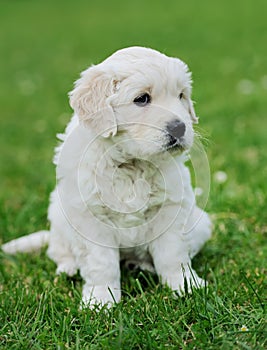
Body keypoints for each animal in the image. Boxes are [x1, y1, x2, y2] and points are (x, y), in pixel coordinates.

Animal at [1, 46, 211, 306]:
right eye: (142, 99)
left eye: (181, 95)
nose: (180, 127)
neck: (131, 162)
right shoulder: (90, 216)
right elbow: (101, 264)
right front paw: (100, 300)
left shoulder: (171, 208)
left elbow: (173, 254)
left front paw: (185, 286)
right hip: (58, 216)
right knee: (58, 250)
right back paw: (68, 268)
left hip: (201, 222)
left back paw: (139, 265)